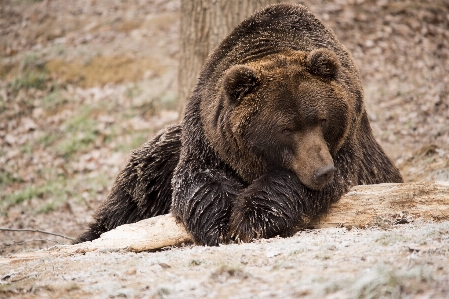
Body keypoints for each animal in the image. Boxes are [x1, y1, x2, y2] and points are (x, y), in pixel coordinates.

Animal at [74, 4, 402, 246]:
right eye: (286, 129)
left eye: (322, 120)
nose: (322, 171)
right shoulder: (207, 134)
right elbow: (198, 180)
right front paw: (220, 224)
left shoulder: (347, 144)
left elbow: (297, 182)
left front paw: (250, 217)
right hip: (163, 154)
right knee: (136, 189)